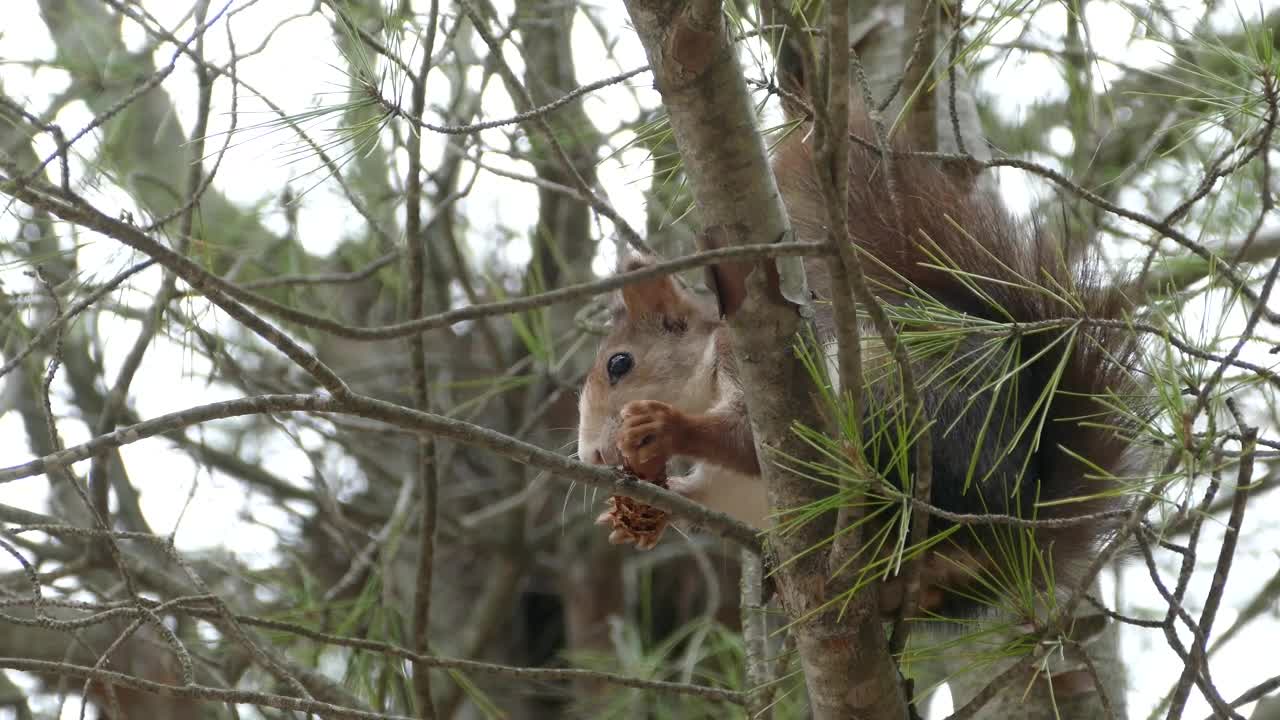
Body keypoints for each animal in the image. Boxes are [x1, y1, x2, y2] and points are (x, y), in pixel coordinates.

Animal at [576, 109, 1144, 617]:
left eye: (619, 364)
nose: (591, 457)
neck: (707, 376)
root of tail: (1017, 527)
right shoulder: (730, 490)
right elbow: (710, 492)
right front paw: (644, 513)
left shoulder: (756, 373)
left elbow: (748, 441)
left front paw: (663, 425)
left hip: (901, 406)